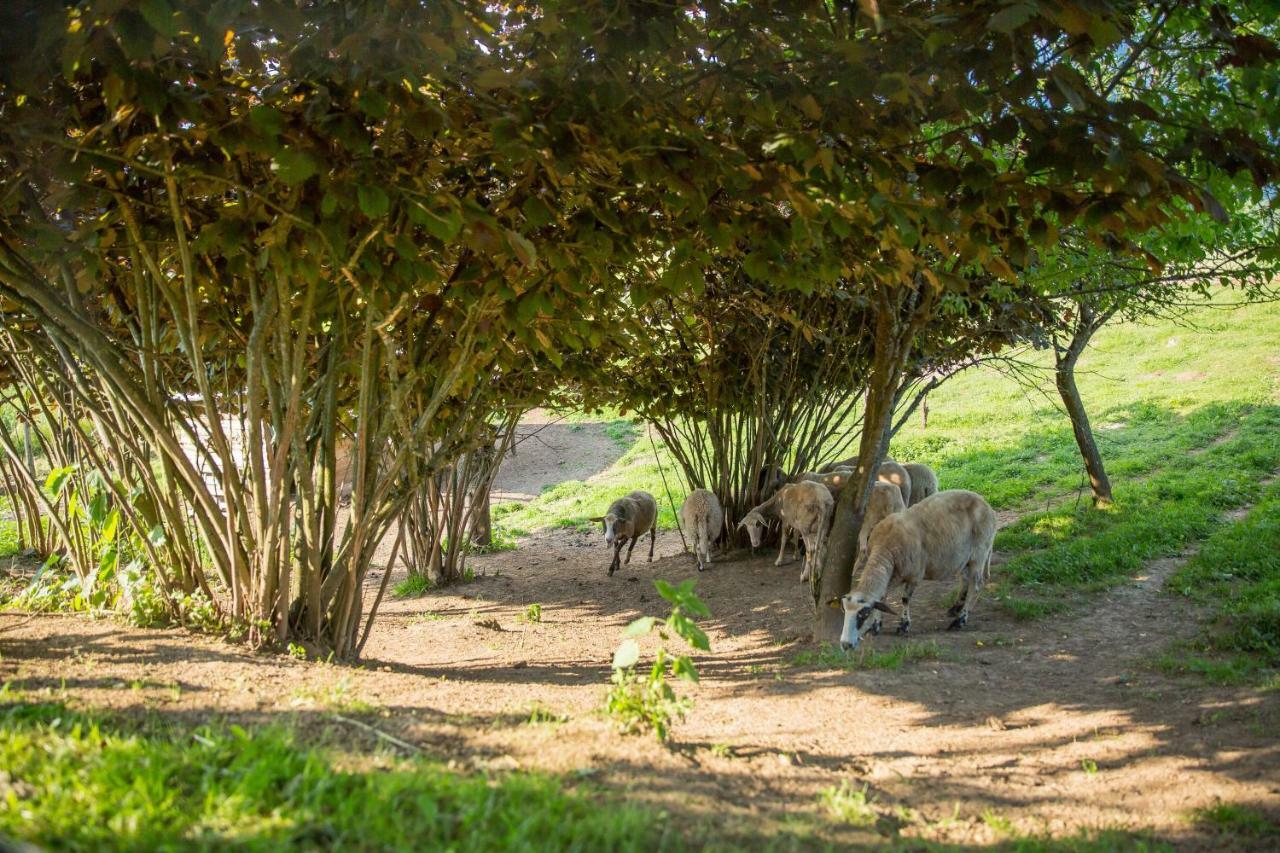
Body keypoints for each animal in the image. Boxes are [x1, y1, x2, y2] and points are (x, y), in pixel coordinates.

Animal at [839, 489, 998, 648]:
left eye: (862, 614)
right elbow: (882, 597)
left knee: (975, 585)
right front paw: (876, 625)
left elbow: (904, 599)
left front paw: (904, 625)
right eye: (845, 611)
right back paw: (955, 608)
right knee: (964, 580)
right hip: (963, 558)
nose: (846, 644)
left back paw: (960, 620)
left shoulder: (914, 575)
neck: (885, 550)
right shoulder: (892, 575)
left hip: (979, 553)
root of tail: (985, 503)